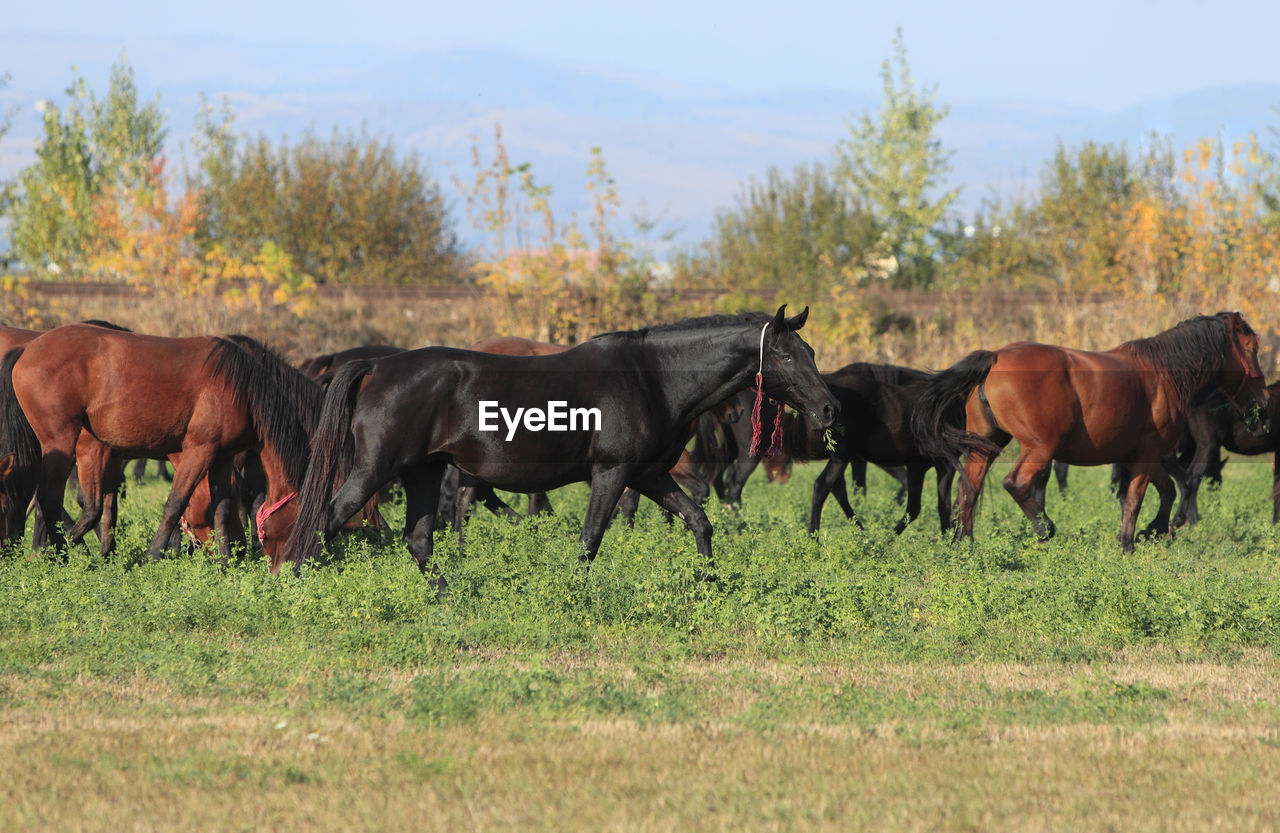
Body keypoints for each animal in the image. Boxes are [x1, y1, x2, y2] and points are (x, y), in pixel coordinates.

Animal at [284, 305, 834, 586]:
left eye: (808, 350)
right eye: (786, 355)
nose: (830, 409)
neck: (652, 376)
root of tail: (377, 367)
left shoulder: (648, 474)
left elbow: (699, 519)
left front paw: (709, 583)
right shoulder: (612, 472)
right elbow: (590, 539)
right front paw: (576, 594)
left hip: (423, 470)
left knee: (419, 540)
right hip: (374, 470)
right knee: (325, 521)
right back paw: (293, 586)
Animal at [911, 309, 1269, 550]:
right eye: (1252, 347)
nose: (1264, 401)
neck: (1163, 372)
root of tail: (996, 357)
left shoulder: (1140, 455)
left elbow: (1166, 490)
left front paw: (1152, 529)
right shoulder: (1149, 454)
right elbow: (1136, 498)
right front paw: (1128, 543)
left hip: (984, 446)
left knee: (968, 488)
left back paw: (964, 543)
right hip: (1038, 448)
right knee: (1016, 483)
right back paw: (1045, 529)